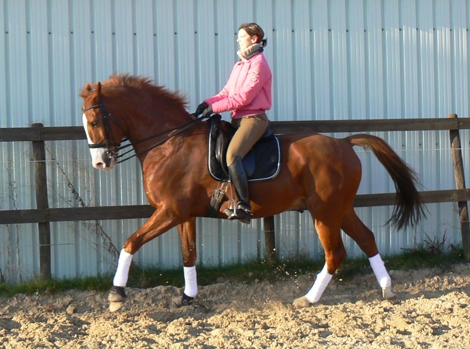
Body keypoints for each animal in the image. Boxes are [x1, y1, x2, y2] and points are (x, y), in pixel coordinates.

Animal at [79, 73, 424, 310]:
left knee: (335, 252)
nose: (99, 162)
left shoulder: (170, 211)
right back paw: (387, 289)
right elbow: (189, 254)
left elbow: (131, 242)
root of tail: (344, 143)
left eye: (94, 121)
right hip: (340, 208)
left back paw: (309, 298)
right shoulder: (183, 214)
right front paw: (187, 296)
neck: (170, 143)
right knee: (366, 238)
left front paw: (116, 295)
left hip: (325, 212)